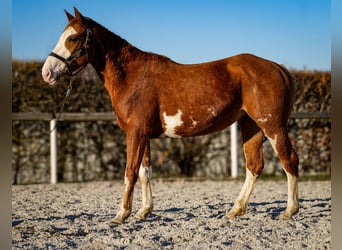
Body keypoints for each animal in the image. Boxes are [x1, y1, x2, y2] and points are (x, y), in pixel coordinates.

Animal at [42, 7, 300, 225]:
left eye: (73, 38)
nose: (47, 73)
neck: (132, 76)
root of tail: (279, 68)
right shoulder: (143, 135)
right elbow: (144, 172)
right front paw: (143, 211)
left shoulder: (135, 134)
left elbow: (130, 172)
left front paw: (121, 215)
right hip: (251, 126)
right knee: (254, 166)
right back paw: (235, 210)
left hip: (273, 127)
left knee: (289, 160)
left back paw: (289, 211)